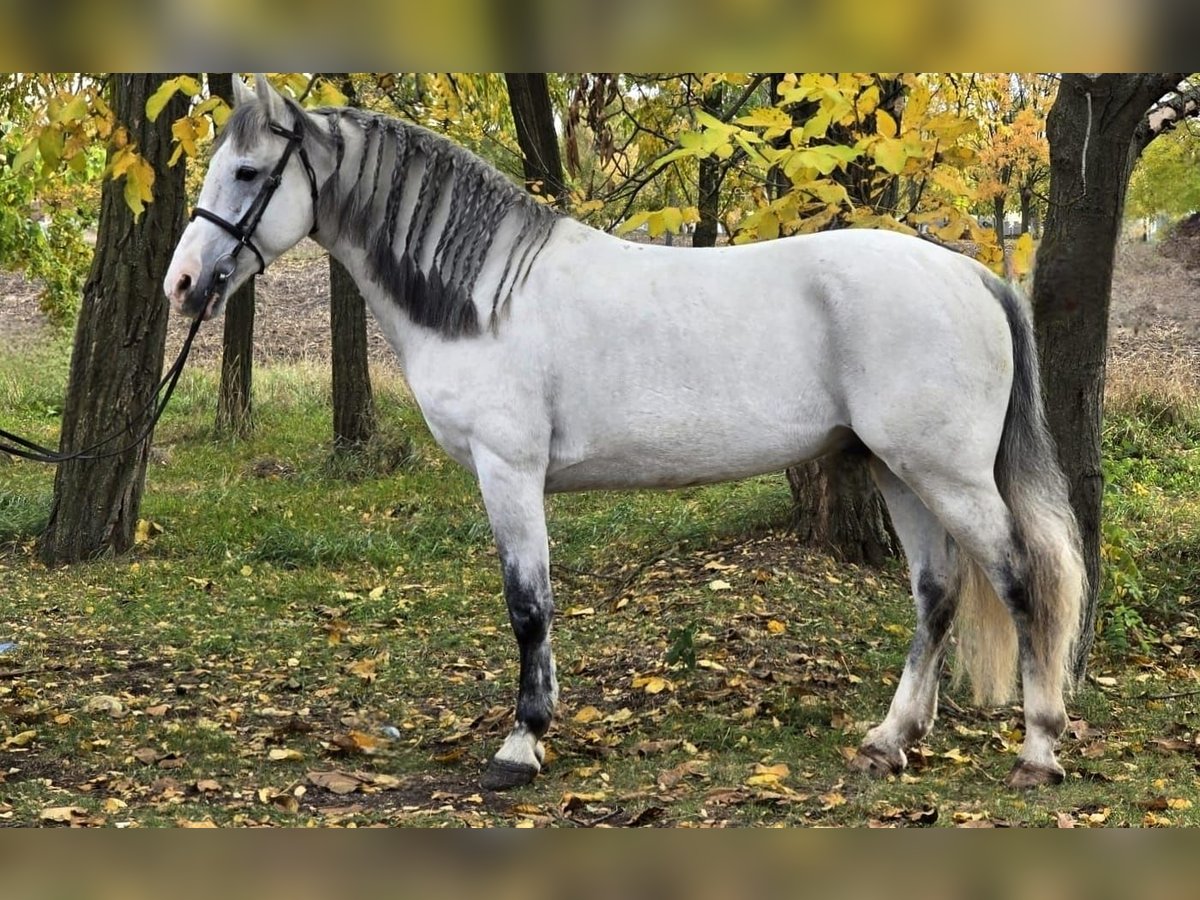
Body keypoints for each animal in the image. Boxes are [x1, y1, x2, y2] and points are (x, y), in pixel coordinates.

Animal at [164, 75, 1085, 791]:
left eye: (248, 170)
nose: (182, 283)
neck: (486, 296)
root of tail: (971, 273)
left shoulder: (508, 471)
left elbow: (528, 605)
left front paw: (521, 745)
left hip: (948, 474)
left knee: (1020, 580)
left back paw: (1038, 751)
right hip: (900, 469)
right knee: (937, 593)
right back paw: (890, 741)